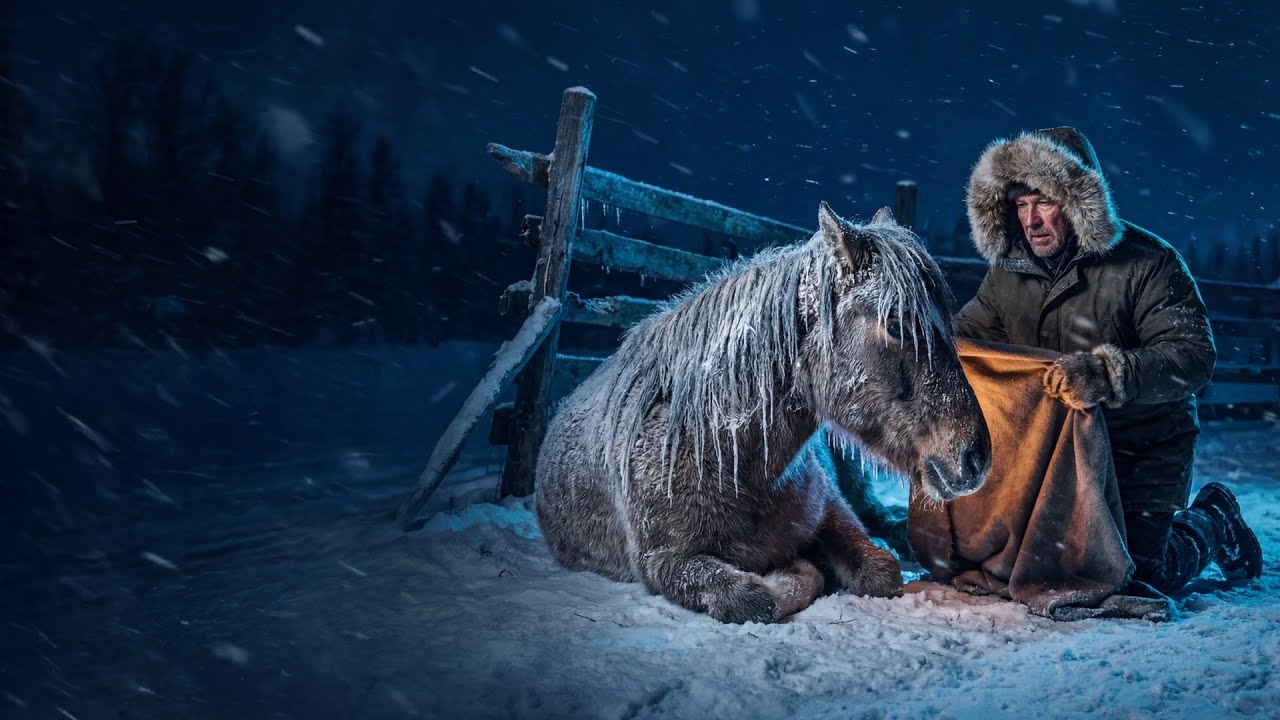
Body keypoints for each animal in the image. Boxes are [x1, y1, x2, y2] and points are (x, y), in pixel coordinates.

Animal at [535, 202, 991, 624]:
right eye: (896, 324)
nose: (976, 456)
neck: (725, 455)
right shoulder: (665, 562)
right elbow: (755, 598)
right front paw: (796, 570)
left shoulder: (831, 508)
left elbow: (878, 571)